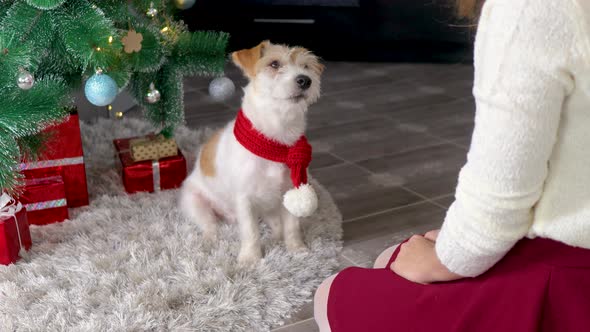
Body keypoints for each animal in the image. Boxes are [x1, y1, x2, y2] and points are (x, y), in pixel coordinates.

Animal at [180, 41, 326, 264]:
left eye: (306, 66)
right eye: (274, 64)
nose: (305, 80)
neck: (274, 142)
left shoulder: (289, 191)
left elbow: (292, 227)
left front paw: (296, 249)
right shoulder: (245, 199)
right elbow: (251, 231)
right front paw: (250, 259)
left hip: (271, 207)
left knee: (276, 225)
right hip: (196, 204)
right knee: (210, 226)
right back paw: (209, 241)